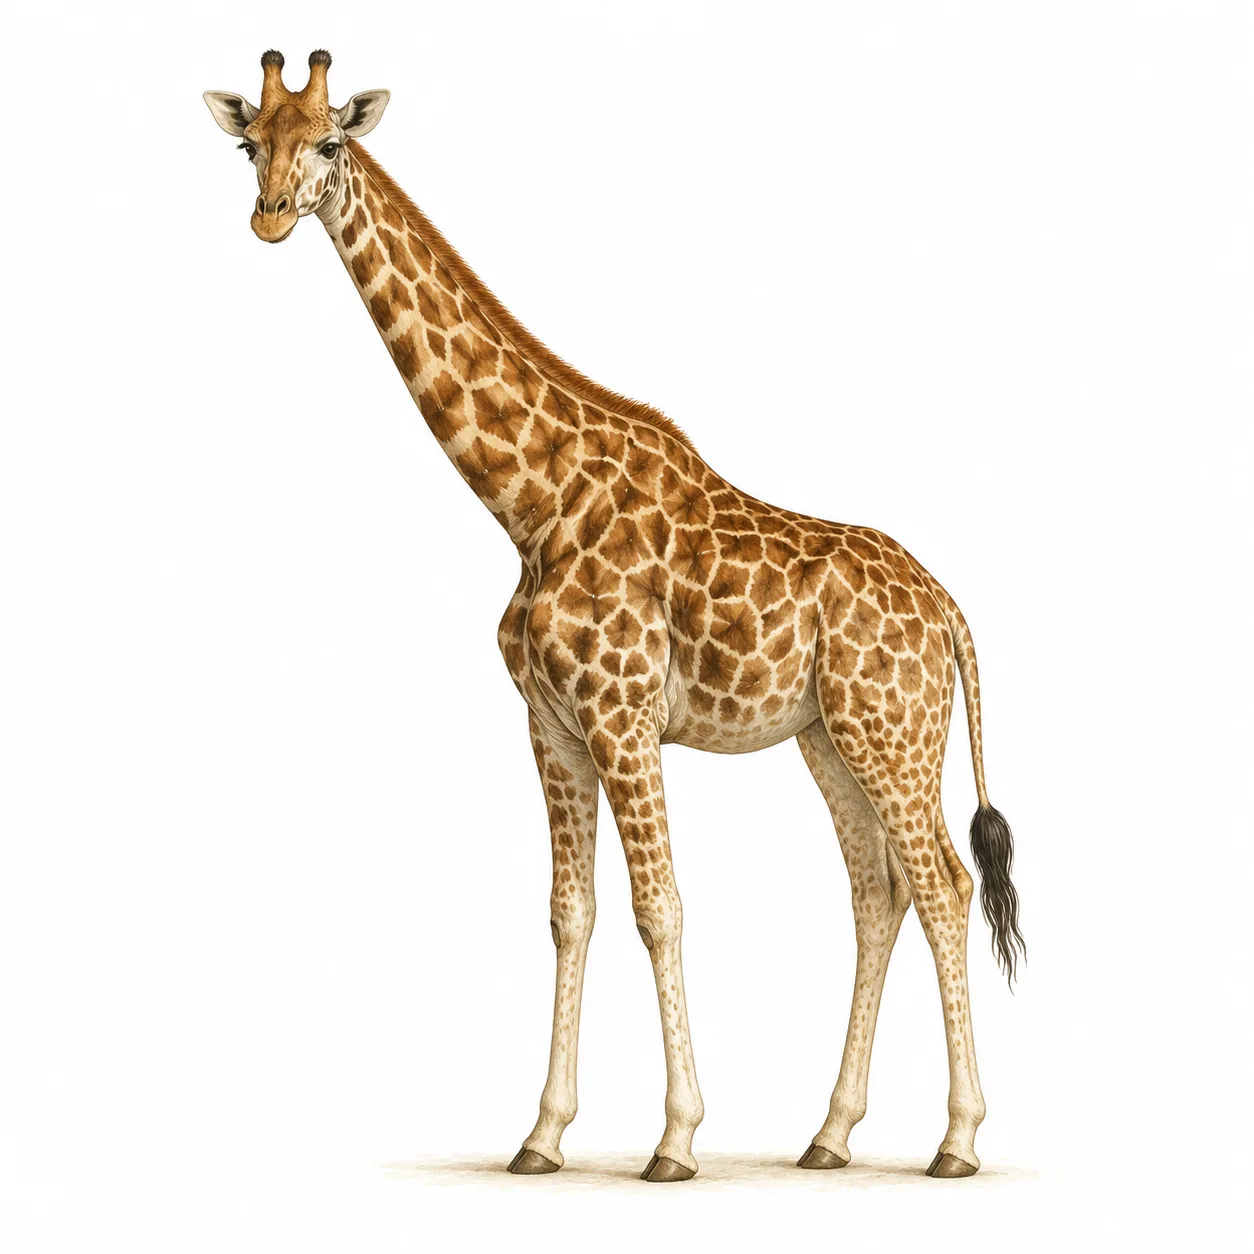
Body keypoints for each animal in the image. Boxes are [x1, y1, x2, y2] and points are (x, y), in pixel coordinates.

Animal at [205, 51, 1025, 1183]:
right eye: (251, 144)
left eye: (328, 141)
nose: (271, 217)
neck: (530, 500)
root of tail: (949, 609)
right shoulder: (551, 725)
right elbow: (570, 911)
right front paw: (542, 1136)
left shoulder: (623, 716)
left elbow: (659, 908)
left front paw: (674, 1140)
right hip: (828, 737)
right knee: (879, 890)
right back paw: (828, 1135)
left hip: (891, 733)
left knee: (943, 885)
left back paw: (956, 1140)